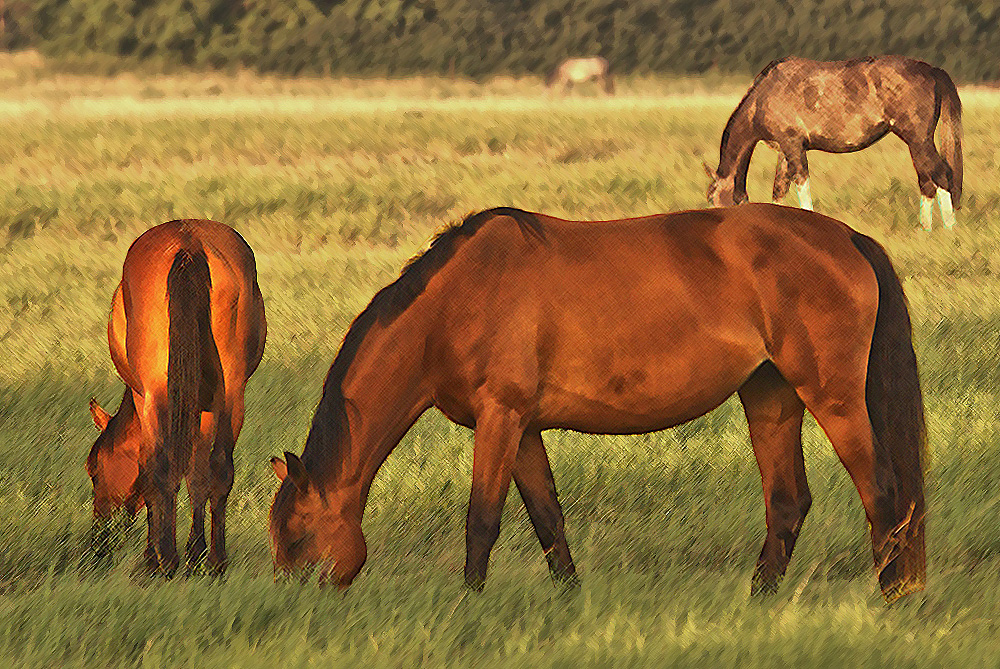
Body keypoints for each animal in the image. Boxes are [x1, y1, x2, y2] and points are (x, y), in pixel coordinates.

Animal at [86, 219, 266, 576]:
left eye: (94, 469)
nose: (99, 540)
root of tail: (189, 244)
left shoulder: (143, 397)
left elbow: (149, 470)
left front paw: (152, 555)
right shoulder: (205, 406)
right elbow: (198, 473)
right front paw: (195, 553)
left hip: (156, 395)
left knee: (161, 467)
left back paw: (165, 560)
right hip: (231, 394)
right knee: (219, 468)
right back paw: (214, 562)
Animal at [270, 205, 924, 604]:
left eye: (297, 538)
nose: (292, 607)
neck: (455, 300)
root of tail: (846, 238)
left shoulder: (499, 417)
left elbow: (482, 520)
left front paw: (467, 604)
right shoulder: (522, 428)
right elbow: (547, 518)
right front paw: (568, 598)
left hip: (832, 397)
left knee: (882, 491)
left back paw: (889, 598)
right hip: (769, 395)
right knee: (788, 501)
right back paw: (759, 600)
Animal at [704, 55, 960, 232]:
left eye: (713, 199)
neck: (765, 95)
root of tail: (931, 70)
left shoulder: (793, 144)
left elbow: (801, 183)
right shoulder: (785, 150)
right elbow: (779, 189)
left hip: (918, 139)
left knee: (941, 174)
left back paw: (949, 229)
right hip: (916, 144)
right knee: (927, 180)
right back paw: (925, 230)